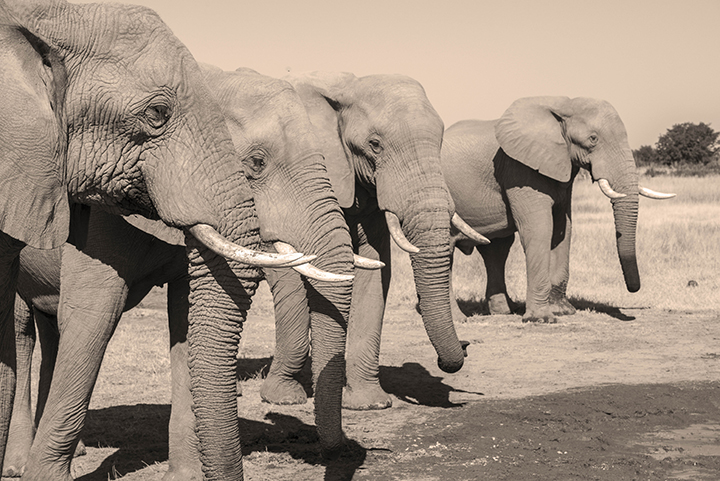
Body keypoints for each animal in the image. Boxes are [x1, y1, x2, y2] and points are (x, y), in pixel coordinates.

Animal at [0, 2, 314, 479]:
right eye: (157, 114)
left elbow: (184, 317)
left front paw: (184, 476)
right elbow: (94, 316)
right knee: (22, 333)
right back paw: (19, 465)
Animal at [259, 71, 488, 411]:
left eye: (440, 142)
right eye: (375, 145)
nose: (466, 344)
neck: (344, 88)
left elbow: (377, 271)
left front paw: (369, 404)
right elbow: (291, 271)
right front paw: (283, 397)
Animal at [440, 96, 675, 324]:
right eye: (593, 139)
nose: (633, 289)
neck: (562, 106)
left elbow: (563, 230)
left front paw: (563, 312)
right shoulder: (519, 169)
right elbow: (539, 229)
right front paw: (541, 319)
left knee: (497, 249)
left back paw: (504, 311)